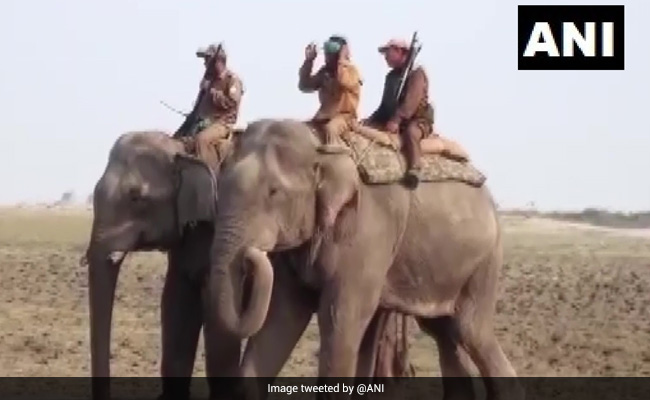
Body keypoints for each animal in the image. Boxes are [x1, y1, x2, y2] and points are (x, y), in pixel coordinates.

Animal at [197, 119, 523, 400]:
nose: (253, 254)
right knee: (444, 332)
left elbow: (339, 316)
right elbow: (282, 315)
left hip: (485, 261)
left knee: (471, 330)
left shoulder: (367, 231)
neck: (321, 145)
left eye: (274, 192)